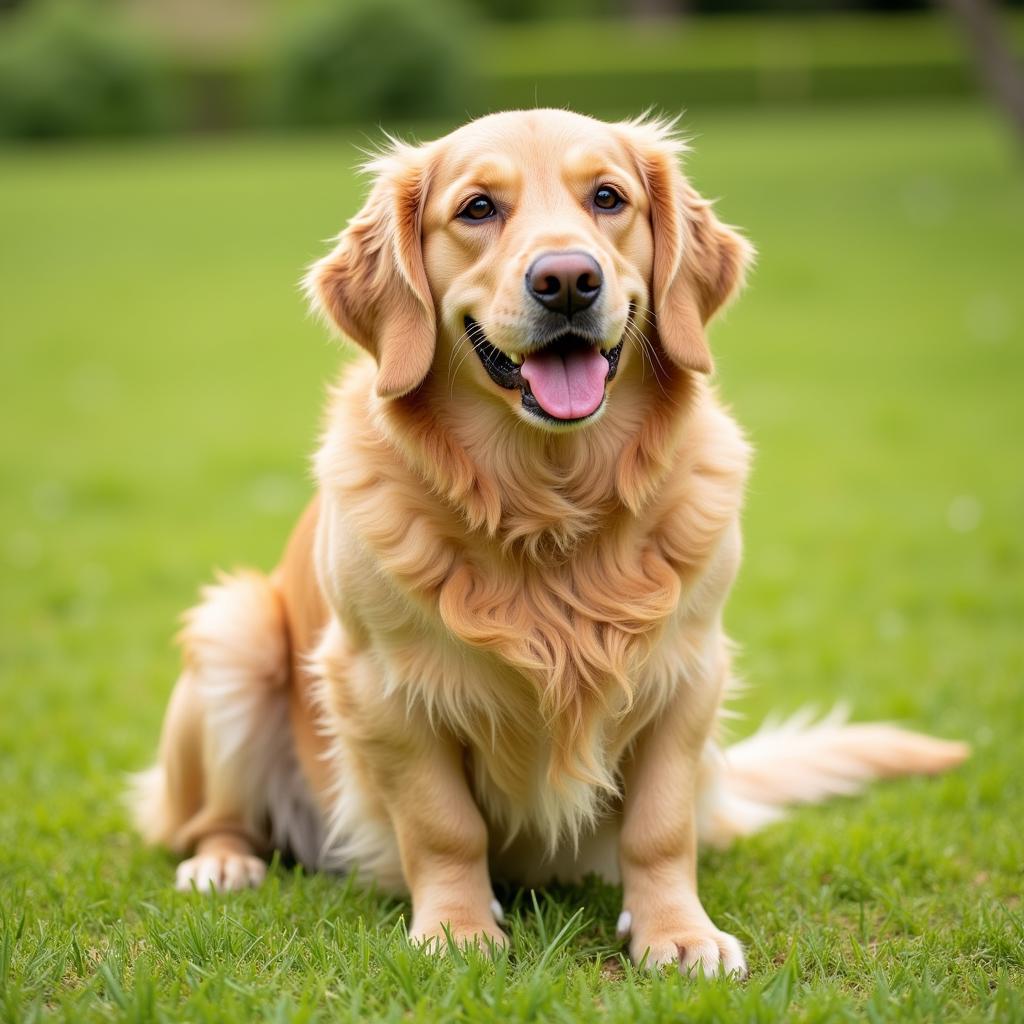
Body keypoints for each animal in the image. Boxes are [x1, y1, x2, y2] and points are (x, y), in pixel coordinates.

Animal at [132, 110, 970, 974]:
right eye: (476, 209)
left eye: (608, 198)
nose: (567, 280)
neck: (550, 504)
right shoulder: (380, 688)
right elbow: (442, 825)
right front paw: (457, 930)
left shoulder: (687, 675)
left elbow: (661, 827)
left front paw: (678, 933)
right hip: (236, 631)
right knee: (206, 819)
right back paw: (224, 863)